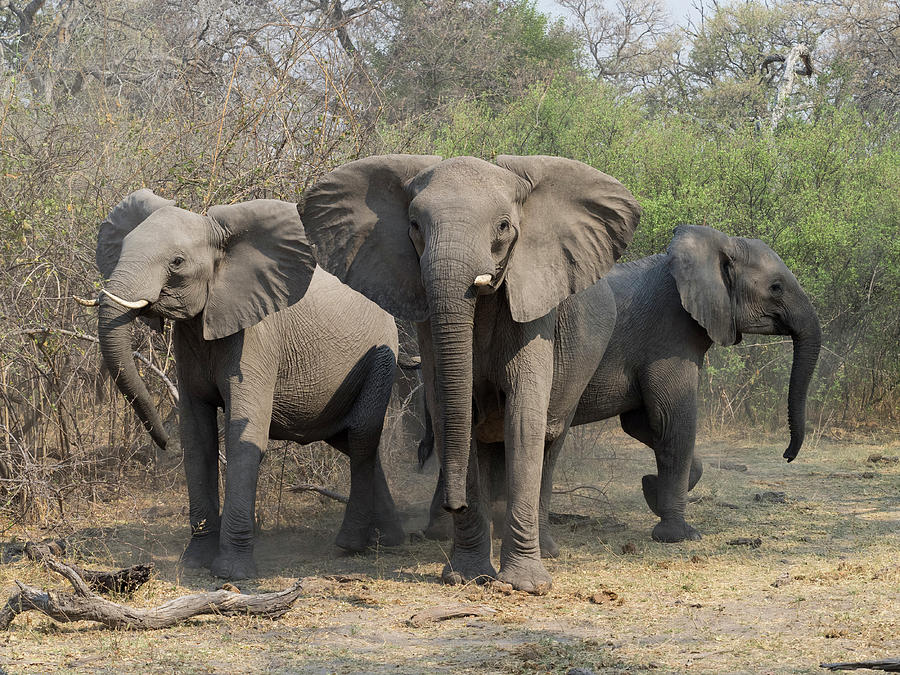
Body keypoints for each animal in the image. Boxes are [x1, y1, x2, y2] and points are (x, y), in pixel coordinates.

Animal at [90, 190, 400, 580]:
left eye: (176, 262)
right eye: (122, 248)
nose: (162, 443)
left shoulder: (257, 336)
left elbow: (243, 435)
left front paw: (232, 573)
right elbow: (197, 438)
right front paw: (194, 563)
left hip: (382, 356)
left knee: (361, 434)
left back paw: (353, 545)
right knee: (349, 439)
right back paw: (391, 537)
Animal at [298, 154, 644, 592]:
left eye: (503, 226)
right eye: (415, 226)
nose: (453, 503)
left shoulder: (533, 304)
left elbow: (524, 418)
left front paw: (526, 585)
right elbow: (453, 413)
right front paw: (467, 576)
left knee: (550, 439)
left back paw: (546, 550)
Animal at [422, 224, 824, 556]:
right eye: (775, 287)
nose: (788, 456)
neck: (712, 246)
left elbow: (643, 424)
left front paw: (650, 490)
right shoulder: (670, 335)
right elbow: (674, 420)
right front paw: (679, 535)